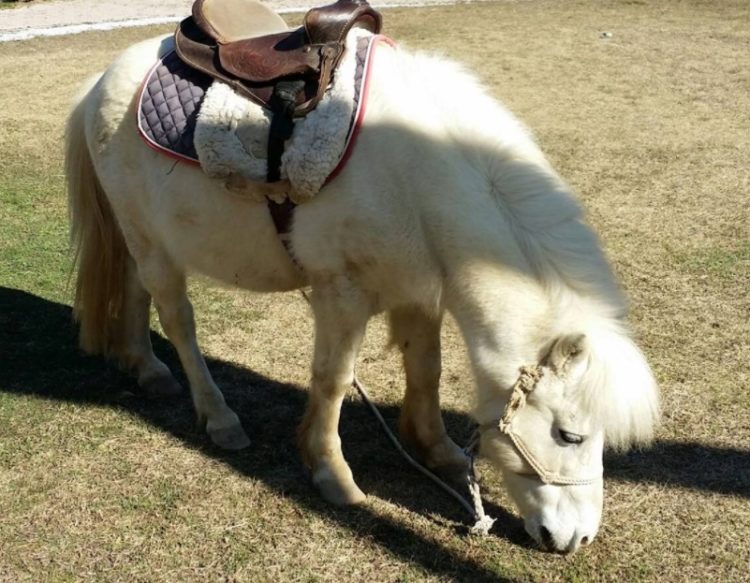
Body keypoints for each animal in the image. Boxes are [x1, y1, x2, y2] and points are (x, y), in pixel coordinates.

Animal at [67, 30, 660, 552]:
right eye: (569, 436)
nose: (577, 539)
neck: (416, 174)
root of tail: (98, 82)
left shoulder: (419, 290)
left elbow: (426, 370)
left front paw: (438, 450)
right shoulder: (342, 295)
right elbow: (333, 381)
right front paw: (333, 476)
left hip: (138, 237)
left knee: (135, 291)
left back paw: (147, 369)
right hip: (154, 243)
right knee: (178, 320)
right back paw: (219, 417)